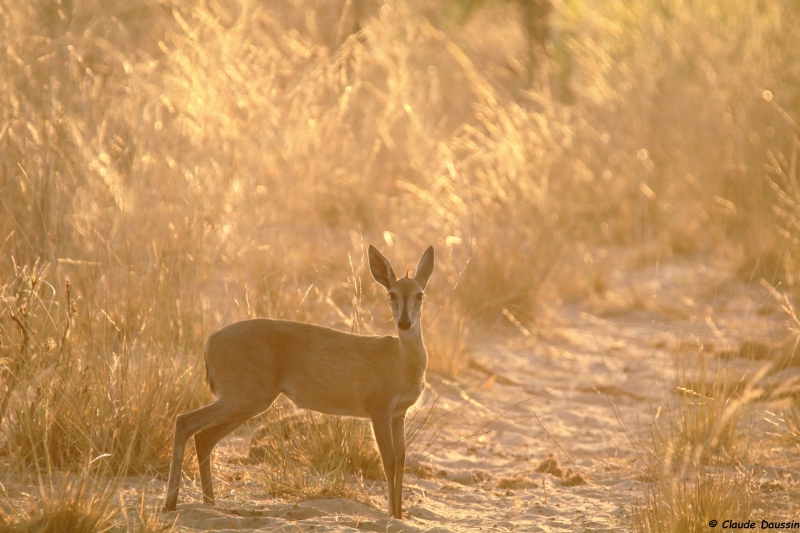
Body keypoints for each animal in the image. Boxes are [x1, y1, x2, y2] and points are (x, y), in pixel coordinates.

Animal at [164, 245, 438, 520]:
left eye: (420, 294)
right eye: (391, 294)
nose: (404, 323)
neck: (401, 361)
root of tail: (210, 341)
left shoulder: (398, 414)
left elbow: (401, 461)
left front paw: (399, 515)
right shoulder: (379, 410)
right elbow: (388, 461)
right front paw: (392, 516)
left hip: (244, 404)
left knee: (204, 438)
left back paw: (209, 502)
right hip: (243, 399)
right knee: (185, 421)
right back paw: (171, 503)